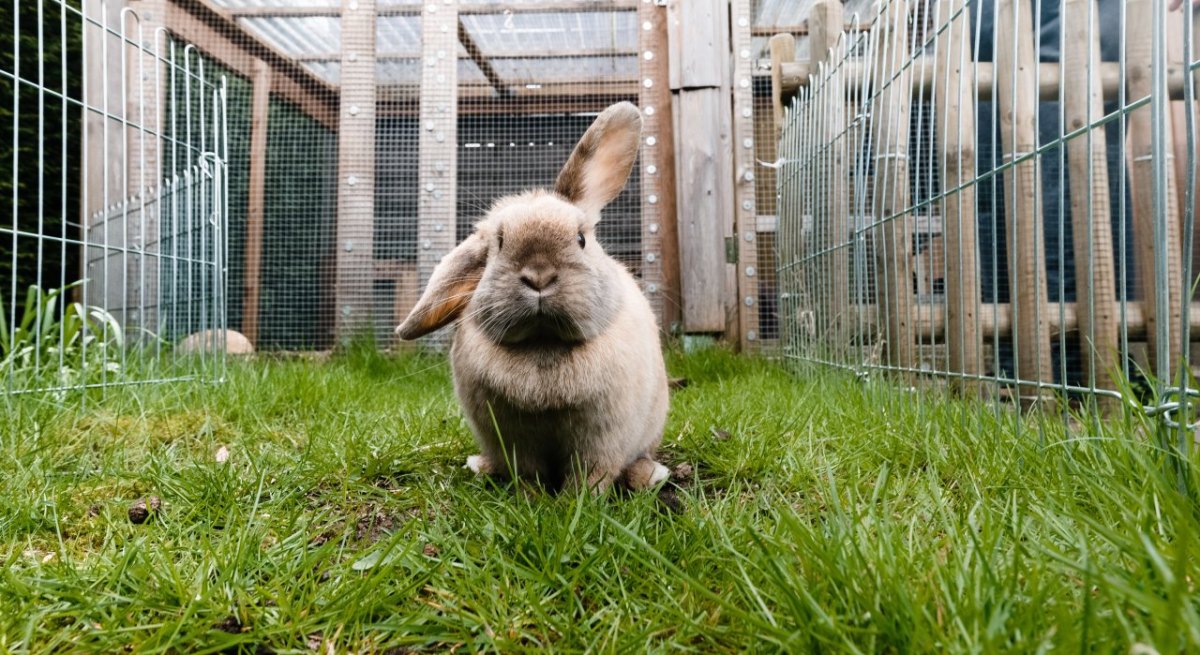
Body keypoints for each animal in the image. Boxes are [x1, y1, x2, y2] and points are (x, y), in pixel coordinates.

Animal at [396, 102, 670, 494]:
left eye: (581, 239)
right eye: (498, 243)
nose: (539, 277)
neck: (543, 345)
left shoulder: (601, 443)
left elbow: (591, 476)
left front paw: (577, 501)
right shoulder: (514, 443)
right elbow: (528, 474)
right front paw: (533, 499)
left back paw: (651, 475)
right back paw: (480, 466)